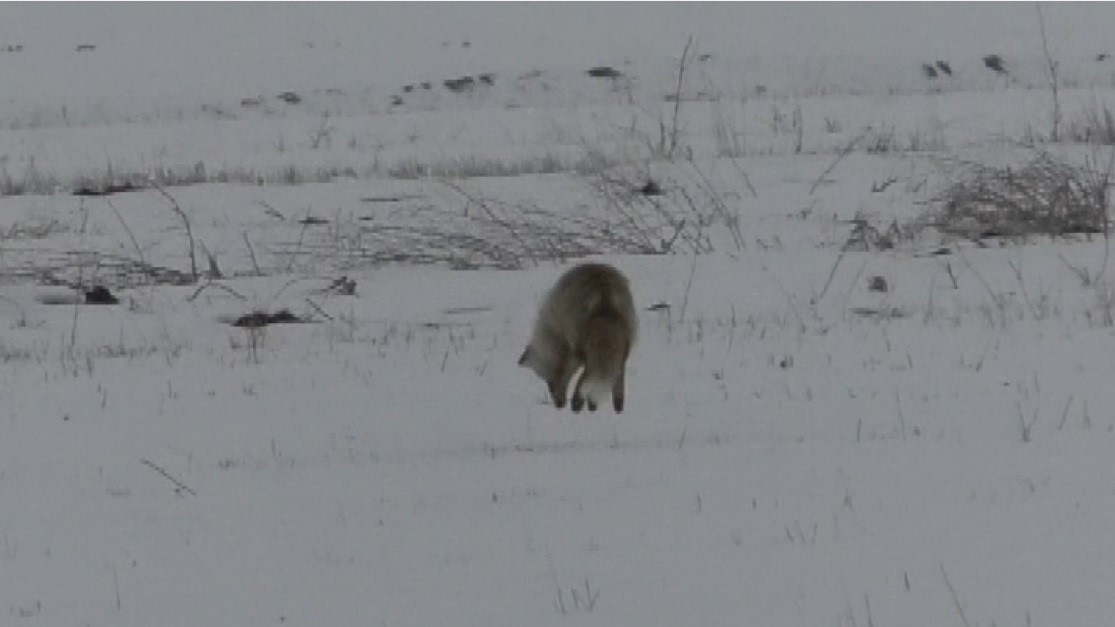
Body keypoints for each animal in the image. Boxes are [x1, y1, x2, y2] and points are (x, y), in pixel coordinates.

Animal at [519, 262, 637, 412]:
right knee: (616, 385)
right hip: (622, 352)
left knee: (586, 377)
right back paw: (615, 409)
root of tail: (604, 291)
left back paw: (577, 405)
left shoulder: (571, 351)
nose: (559, 405)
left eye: (549, 383)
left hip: (583, 350)